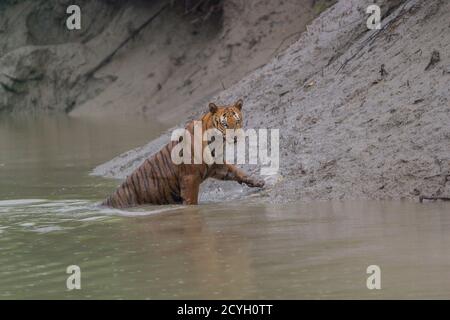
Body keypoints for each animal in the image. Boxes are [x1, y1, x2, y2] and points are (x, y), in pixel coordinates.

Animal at [102, 99, 264, 209]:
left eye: (237, 121)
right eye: (225, 124)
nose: (236, 137)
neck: (217, 143)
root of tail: (107, 201)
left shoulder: (217, 165)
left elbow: (236, 171)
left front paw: (257, 181)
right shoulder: (190, 178)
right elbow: (191, 201)